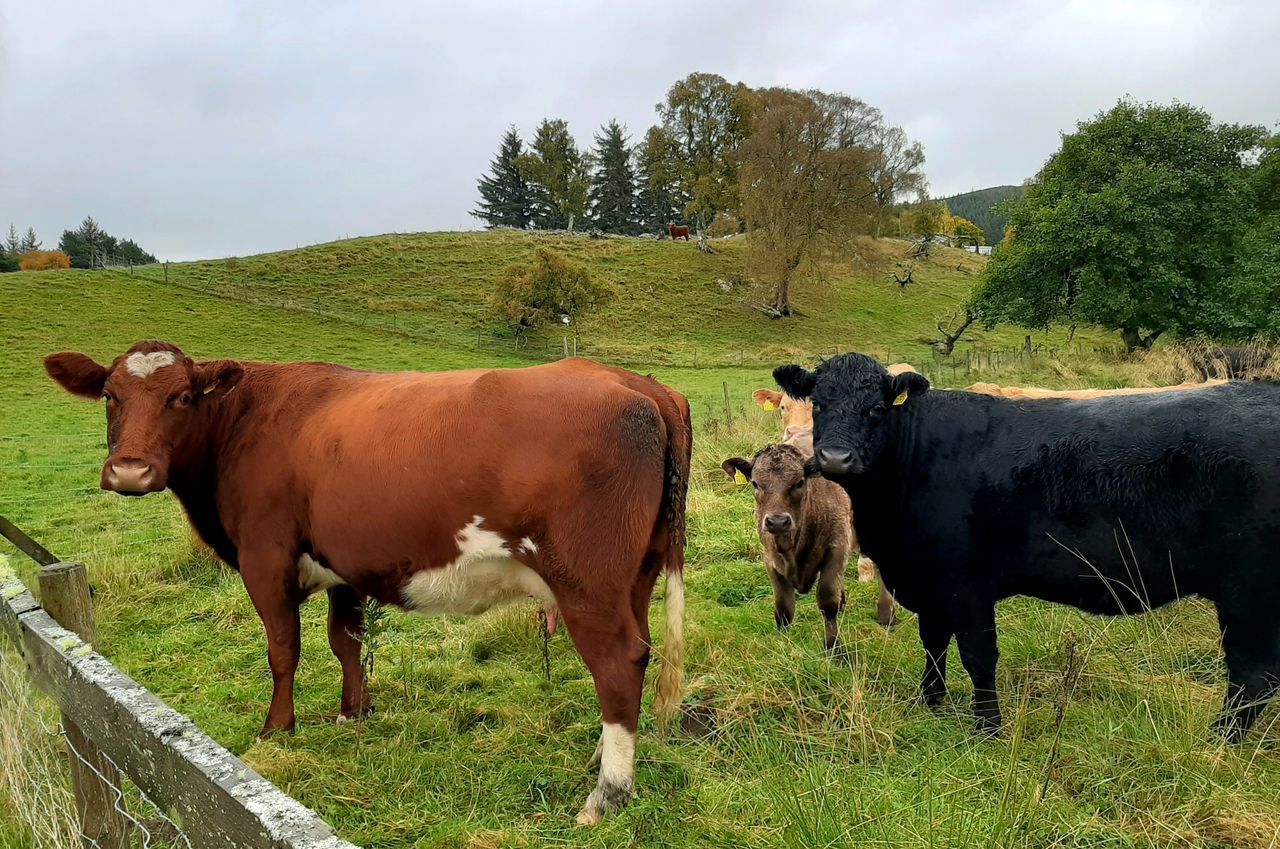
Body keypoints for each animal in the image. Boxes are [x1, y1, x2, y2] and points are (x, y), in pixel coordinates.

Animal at [45, 338, 691, 824]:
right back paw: (605, 756)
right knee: (638, 655)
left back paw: (606, 794)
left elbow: (284, 649)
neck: (246, 421)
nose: (130, 471)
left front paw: (277, 730)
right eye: (110, 396)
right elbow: (346, 641)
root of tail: (641, 386)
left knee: (618, 661)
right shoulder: (342, 565)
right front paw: (353, 712)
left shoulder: (265, 557)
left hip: (587, 581)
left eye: (181, 397)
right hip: (637, 574)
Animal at [727, 445, 855, 650]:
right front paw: (783, 644)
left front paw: (834, 648)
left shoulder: (837, 549)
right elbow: (784, 608)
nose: (778, 522)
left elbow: (828, 603)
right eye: (755, 483)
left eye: (799, 482)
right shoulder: (771, 561)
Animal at [773, 348, 1280, 742]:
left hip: (1249, 592)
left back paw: (1218, 742)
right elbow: (933, 643)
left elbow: (978, 656)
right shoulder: (929, 582)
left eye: (876, 407)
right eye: (818, 402)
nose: (835, 458)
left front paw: (988, 728)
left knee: (1251, 676)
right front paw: (930, 702)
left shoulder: (966, 585)